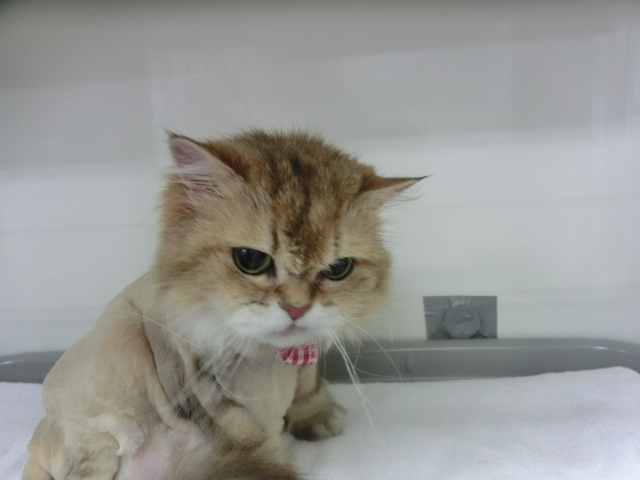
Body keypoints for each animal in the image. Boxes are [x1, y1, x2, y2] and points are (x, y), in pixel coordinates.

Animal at [22, 129, 422, 480]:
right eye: (251, 260)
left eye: (338, 269)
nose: (296, 309)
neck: (265, 357)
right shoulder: (196, 377)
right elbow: (247, 437)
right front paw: (276, 465)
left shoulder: (306, 352)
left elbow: (307, 385)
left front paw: (318, 417)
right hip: (116, 352)